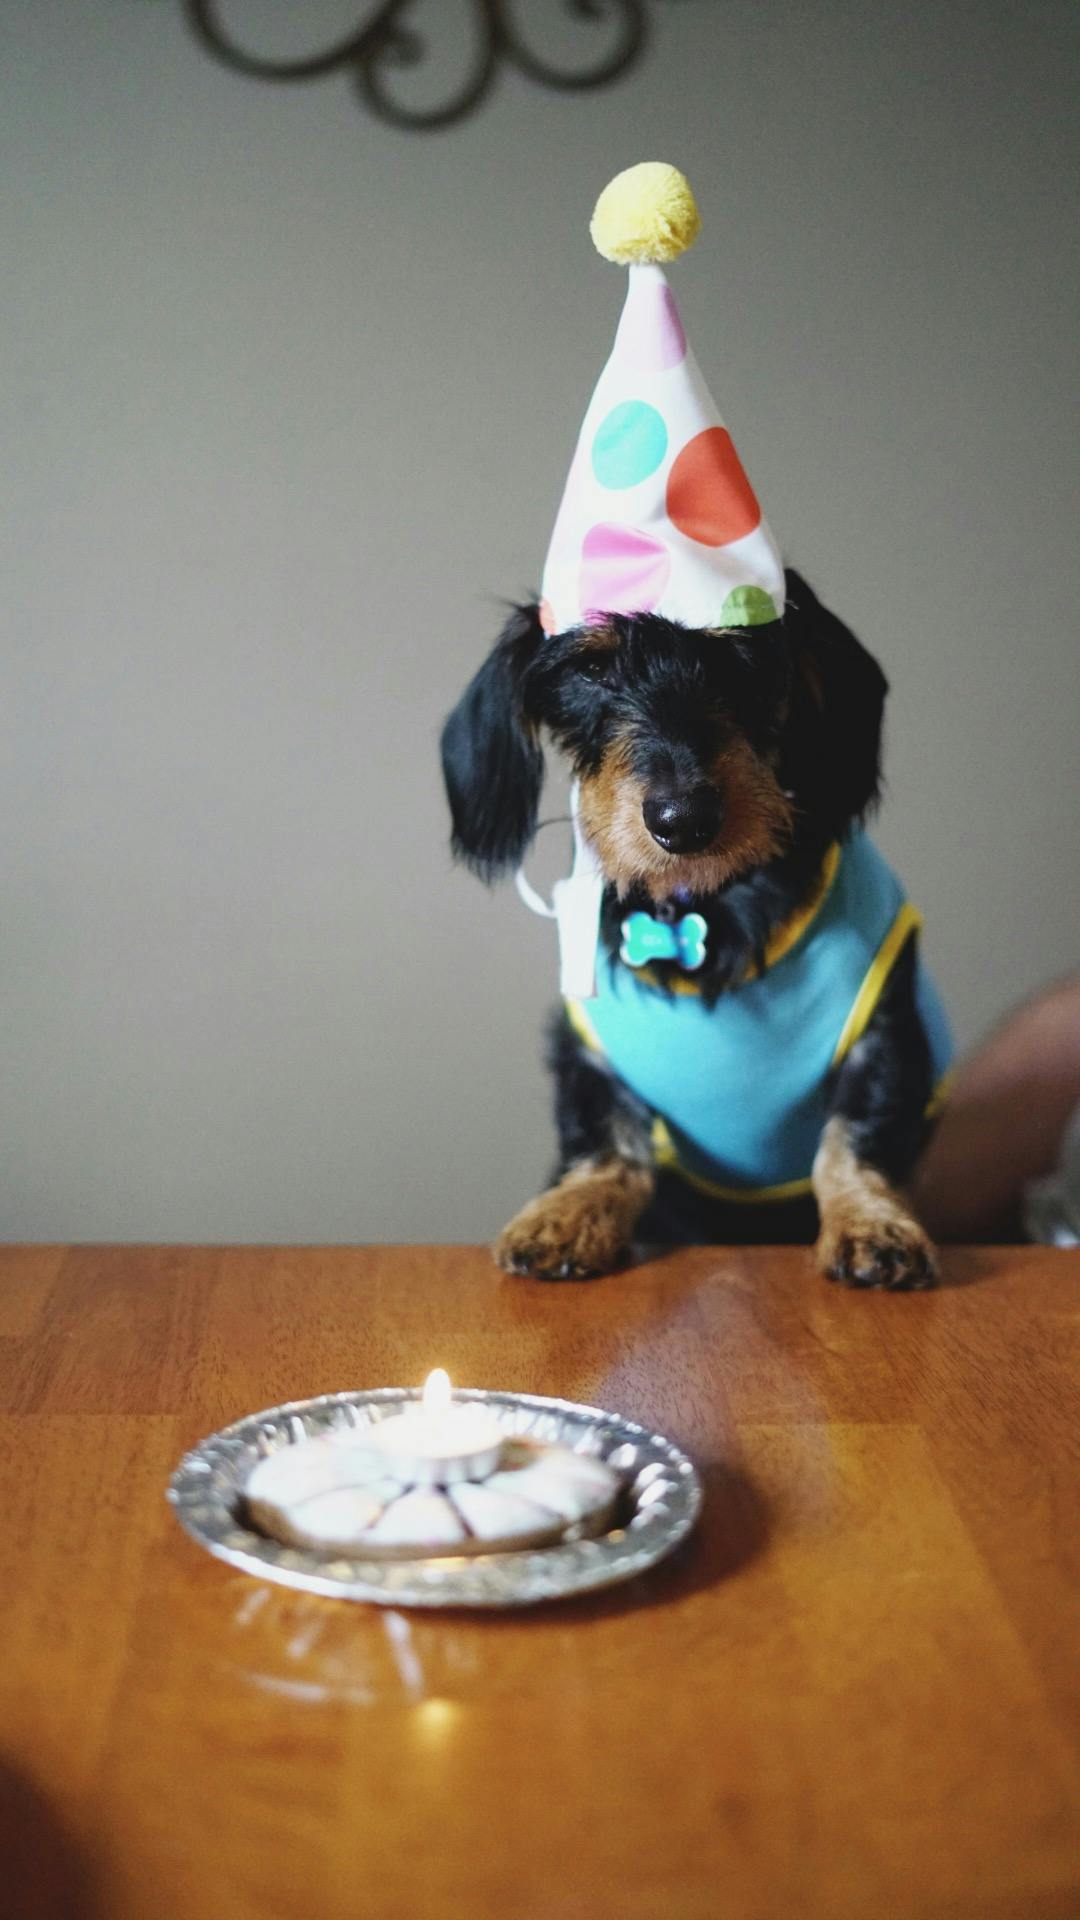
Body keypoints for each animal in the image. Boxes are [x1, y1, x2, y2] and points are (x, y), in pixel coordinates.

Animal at [438, 568, 941, 1290]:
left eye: (740, 651)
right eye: (591, 668)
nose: (684, 819)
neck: (704, 905)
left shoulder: (886, 1034)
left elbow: (855, 1139)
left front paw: (873, 1224)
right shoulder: (587, 1056)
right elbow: (606, 1145)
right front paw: (566, 1216)